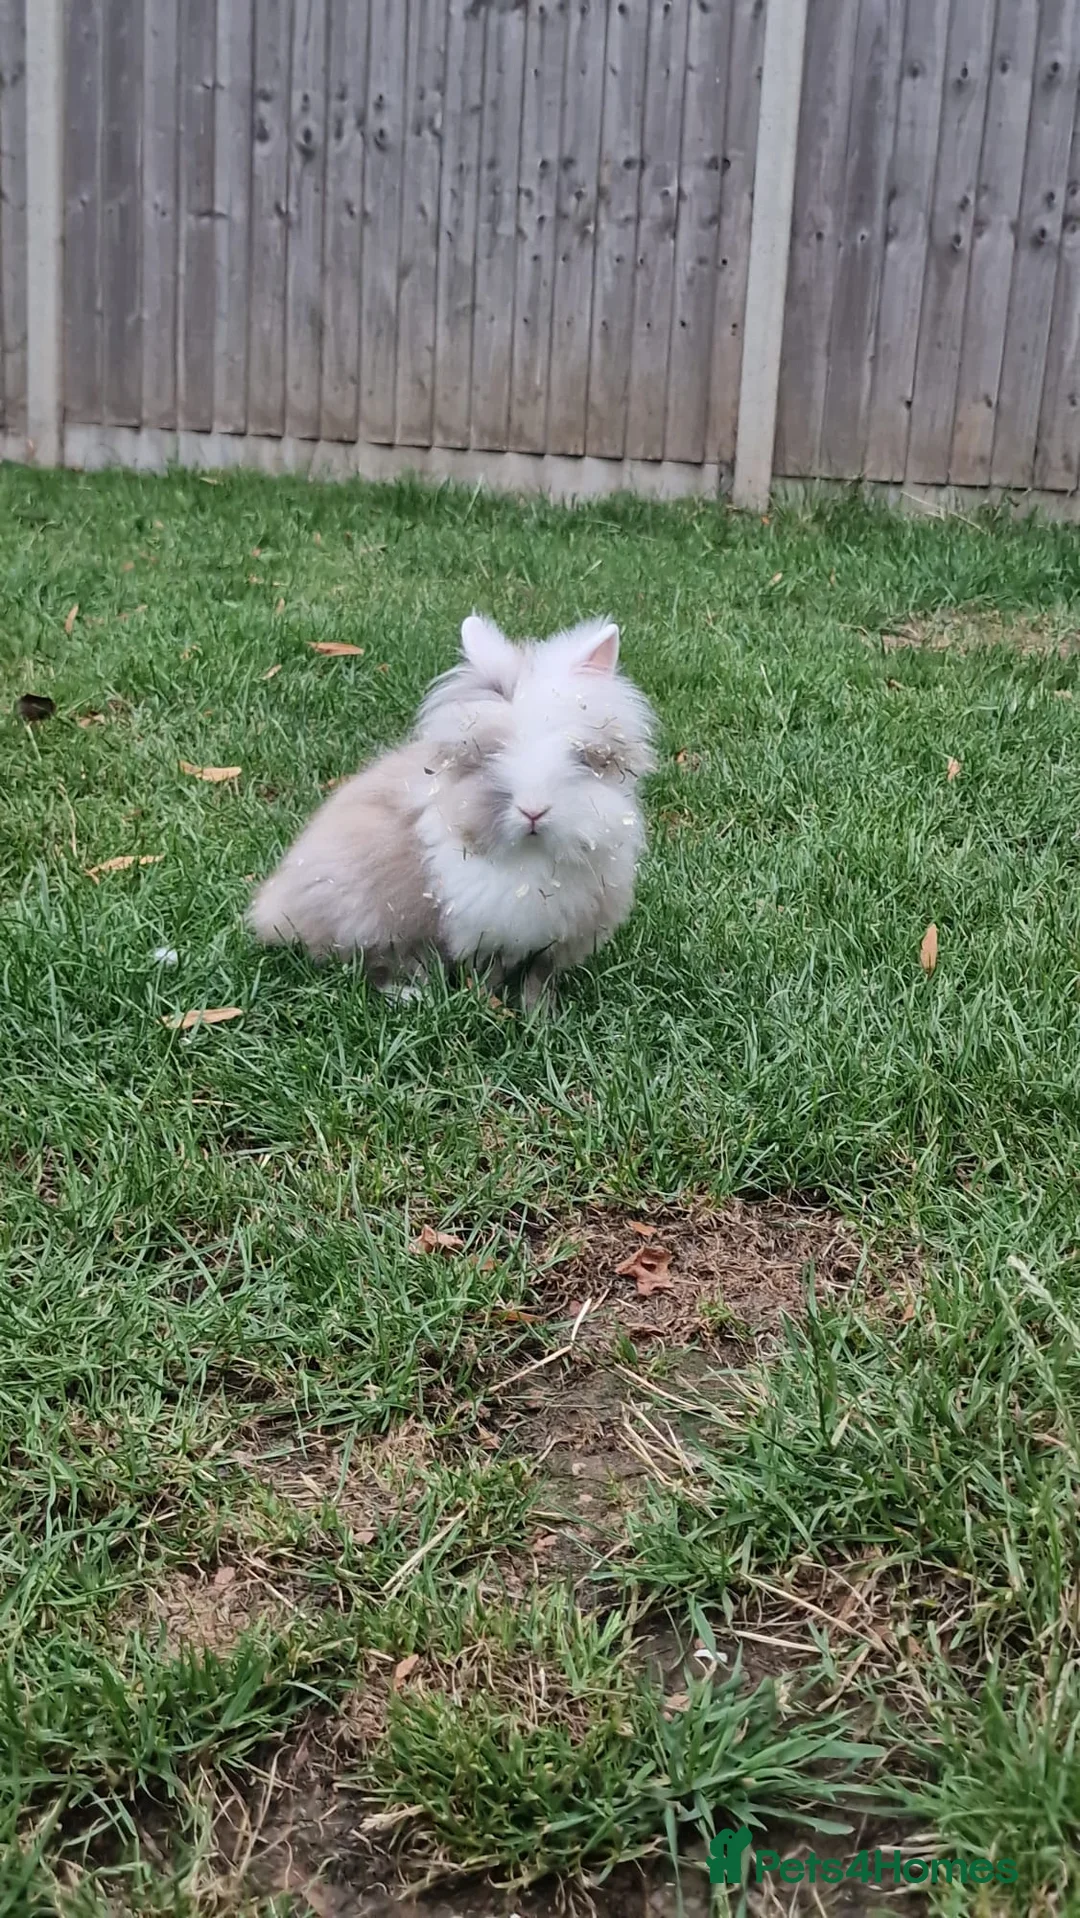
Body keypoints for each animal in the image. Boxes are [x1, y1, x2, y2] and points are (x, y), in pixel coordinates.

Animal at [247, 613, 656, 1009]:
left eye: (581, 758)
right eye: (489, 756)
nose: (533, 811)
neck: (533, 857)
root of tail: (273, 905)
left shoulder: (551, 946)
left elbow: (538, 984)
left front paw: (542, 1020)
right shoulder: (482, 934)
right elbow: (486, 976)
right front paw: (487, 1008)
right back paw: (413, 997)